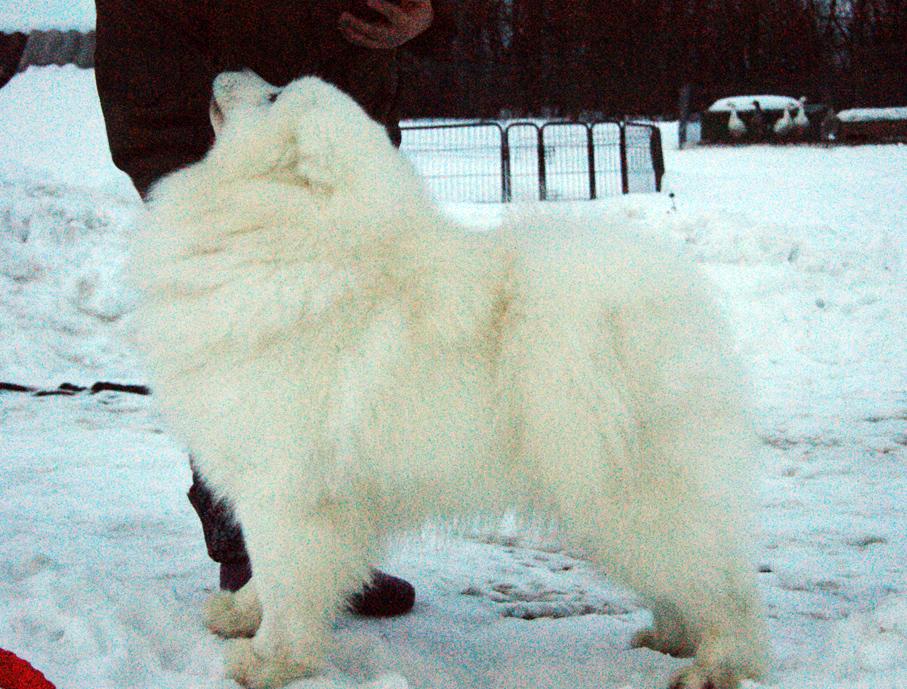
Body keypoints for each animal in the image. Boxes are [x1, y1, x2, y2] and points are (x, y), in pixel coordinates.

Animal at [131, 71, 768, 688]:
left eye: (272, 95)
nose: (222, 71)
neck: (291, 241)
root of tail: (669, 310)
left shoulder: (285, 488)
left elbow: (287, 585)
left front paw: (268, 662)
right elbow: (268, 578)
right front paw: (239, 615)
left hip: (641, 497)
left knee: (725, 589)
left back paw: (715, 666)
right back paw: (669, 638)